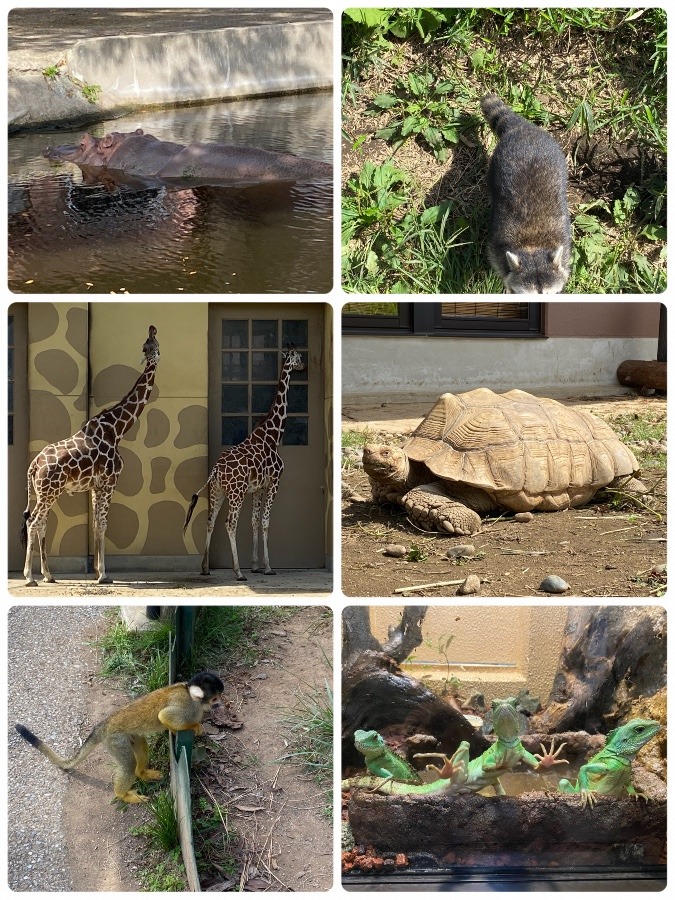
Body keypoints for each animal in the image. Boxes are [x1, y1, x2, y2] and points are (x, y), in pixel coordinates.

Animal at [14, 672, 226, 804]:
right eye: (215, 699)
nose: (219, 705)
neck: (191, 696)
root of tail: (105, 724)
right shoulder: (186, 707)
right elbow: (164, 716)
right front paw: (192, 727)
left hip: (128, 734)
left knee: (140, 743)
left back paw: (142, 773)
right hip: (115, 740)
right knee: (127, 765)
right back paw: (124, 795)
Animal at [20, 326, 160, 588]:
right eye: (148, 346)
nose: (152, 359)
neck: (117, 429)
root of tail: (33, 465)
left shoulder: (96, 486)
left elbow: (96, 524)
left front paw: (97, 572)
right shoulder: (110, 481)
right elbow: (103, 524)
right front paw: (104, 575)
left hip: (44, 492)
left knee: (41, 523)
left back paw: (49, 575)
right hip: (49, 491)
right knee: (33, 522)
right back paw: (29, 577)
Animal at [182, 342, 304, 580]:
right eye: (297, 356)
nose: (304, 366)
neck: (273, 435)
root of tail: (216, 470)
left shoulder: (257, 488)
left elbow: (255, 520)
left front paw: (256, 565)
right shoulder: (274, 482)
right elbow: (265, 521)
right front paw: (268, 567)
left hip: (218, 491)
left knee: (211, 520)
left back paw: (205, 568)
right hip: (235, 493)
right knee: (230, 523)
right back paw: (238, 571)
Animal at [480, 97, 572, 298]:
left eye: (552, 294)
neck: (532, 245)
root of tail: (522, 128)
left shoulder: (565, 246)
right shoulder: (496, 248)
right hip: (496, 164)